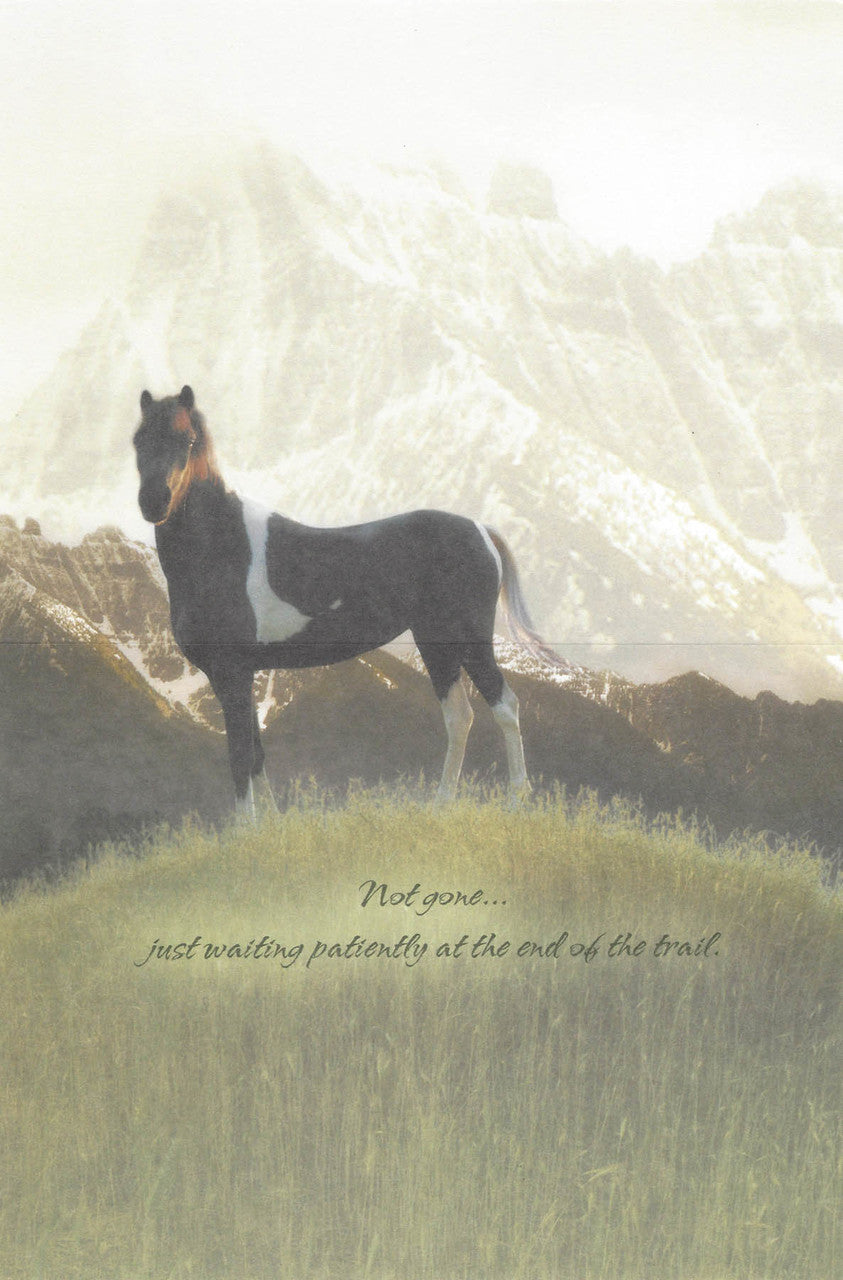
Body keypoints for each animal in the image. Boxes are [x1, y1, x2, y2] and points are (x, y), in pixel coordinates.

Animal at [133, 386, 560, 818]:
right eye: (138, 439)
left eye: (188, 440)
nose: (154, 501)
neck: (223, 548)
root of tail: (482, 530)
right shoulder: (236, 675)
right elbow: (255, 755)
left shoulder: (233, 673)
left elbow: (240, 759)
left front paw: (246, 829)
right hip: (436, 645)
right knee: (460, 716)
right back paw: (441, 805)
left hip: (469, 642)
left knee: (505, 706)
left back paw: (515, 801)